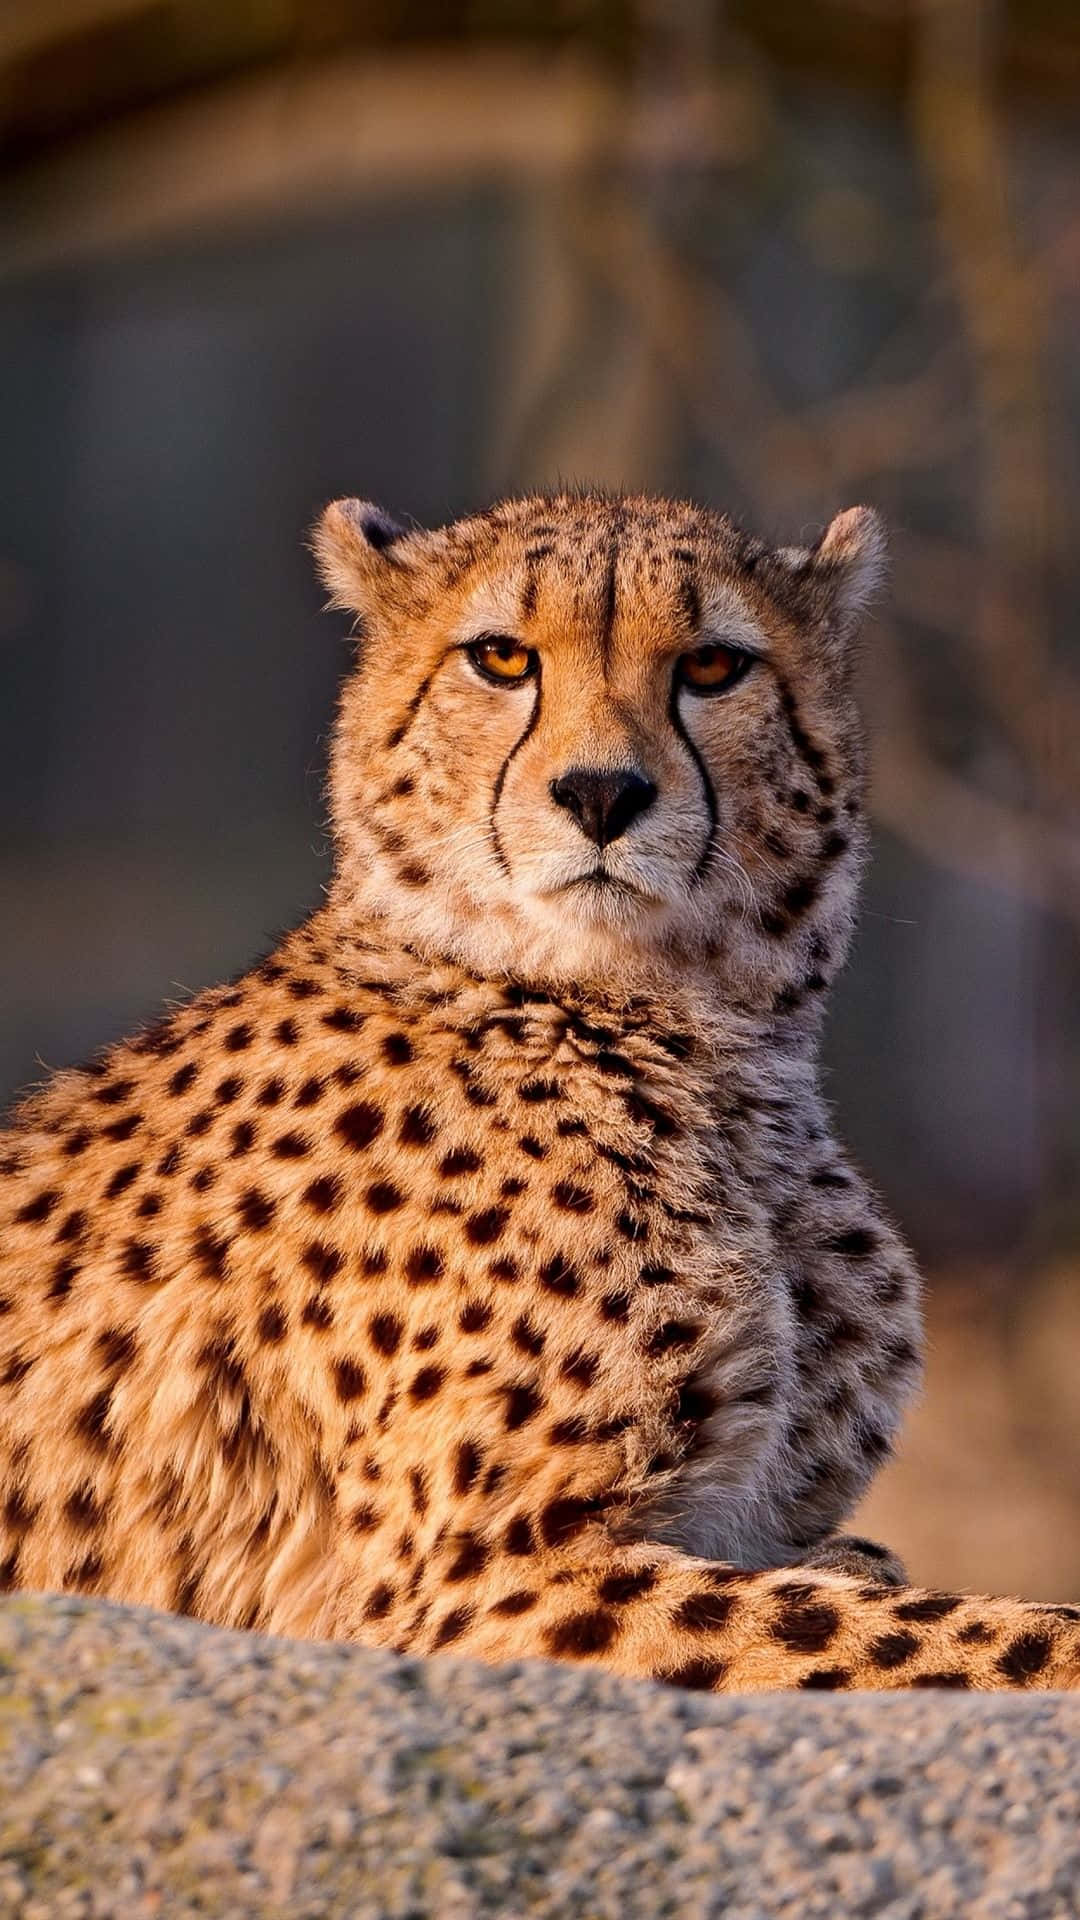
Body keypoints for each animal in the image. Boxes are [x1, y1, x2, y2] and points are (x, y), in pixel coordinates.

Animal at [1, 487, 1077, 1693]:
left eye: (713, 666)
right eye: (502, 658)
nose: (601, 793)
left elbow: (883, 1588)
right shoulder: (475, 1582)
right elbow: (959, 1633)